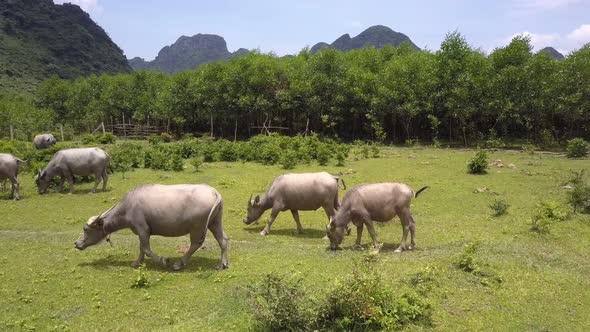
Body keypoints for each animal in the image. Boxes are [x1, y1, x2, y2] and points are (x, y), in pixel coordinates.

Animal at [74, 183, 231, 272]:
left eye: (85, 229)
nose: (76, 243)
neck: (127, 208)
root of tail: (215, 193)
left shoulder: (143, 228)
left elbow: (146, 248)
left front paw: (164, 261)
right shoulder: (141, 231)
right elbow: (141, 248)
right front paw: (137, 263)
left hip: (197, 227)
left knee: (195, 244)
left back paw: (178, 264)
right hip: (215, 221)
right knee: (223, 239)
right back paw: (223, 264)